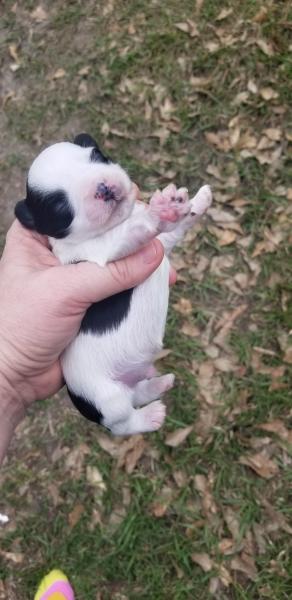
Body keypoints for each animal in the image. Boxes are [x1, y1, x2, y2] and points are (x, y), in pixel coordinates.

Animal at [14, 135, 212, 436]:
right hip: (107, 399)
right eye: (61, 209)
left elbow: (177, 226)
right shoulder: (107, 253)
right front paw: (160, 210)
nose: (103, 188)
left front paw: (191, 201)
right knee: (123, 424)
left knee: (139, 393)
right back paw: (150, 417)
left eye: (97, 155)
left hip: (131, 382)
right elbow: (136, 231)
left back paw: (159, 385)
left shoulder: (162, 244)